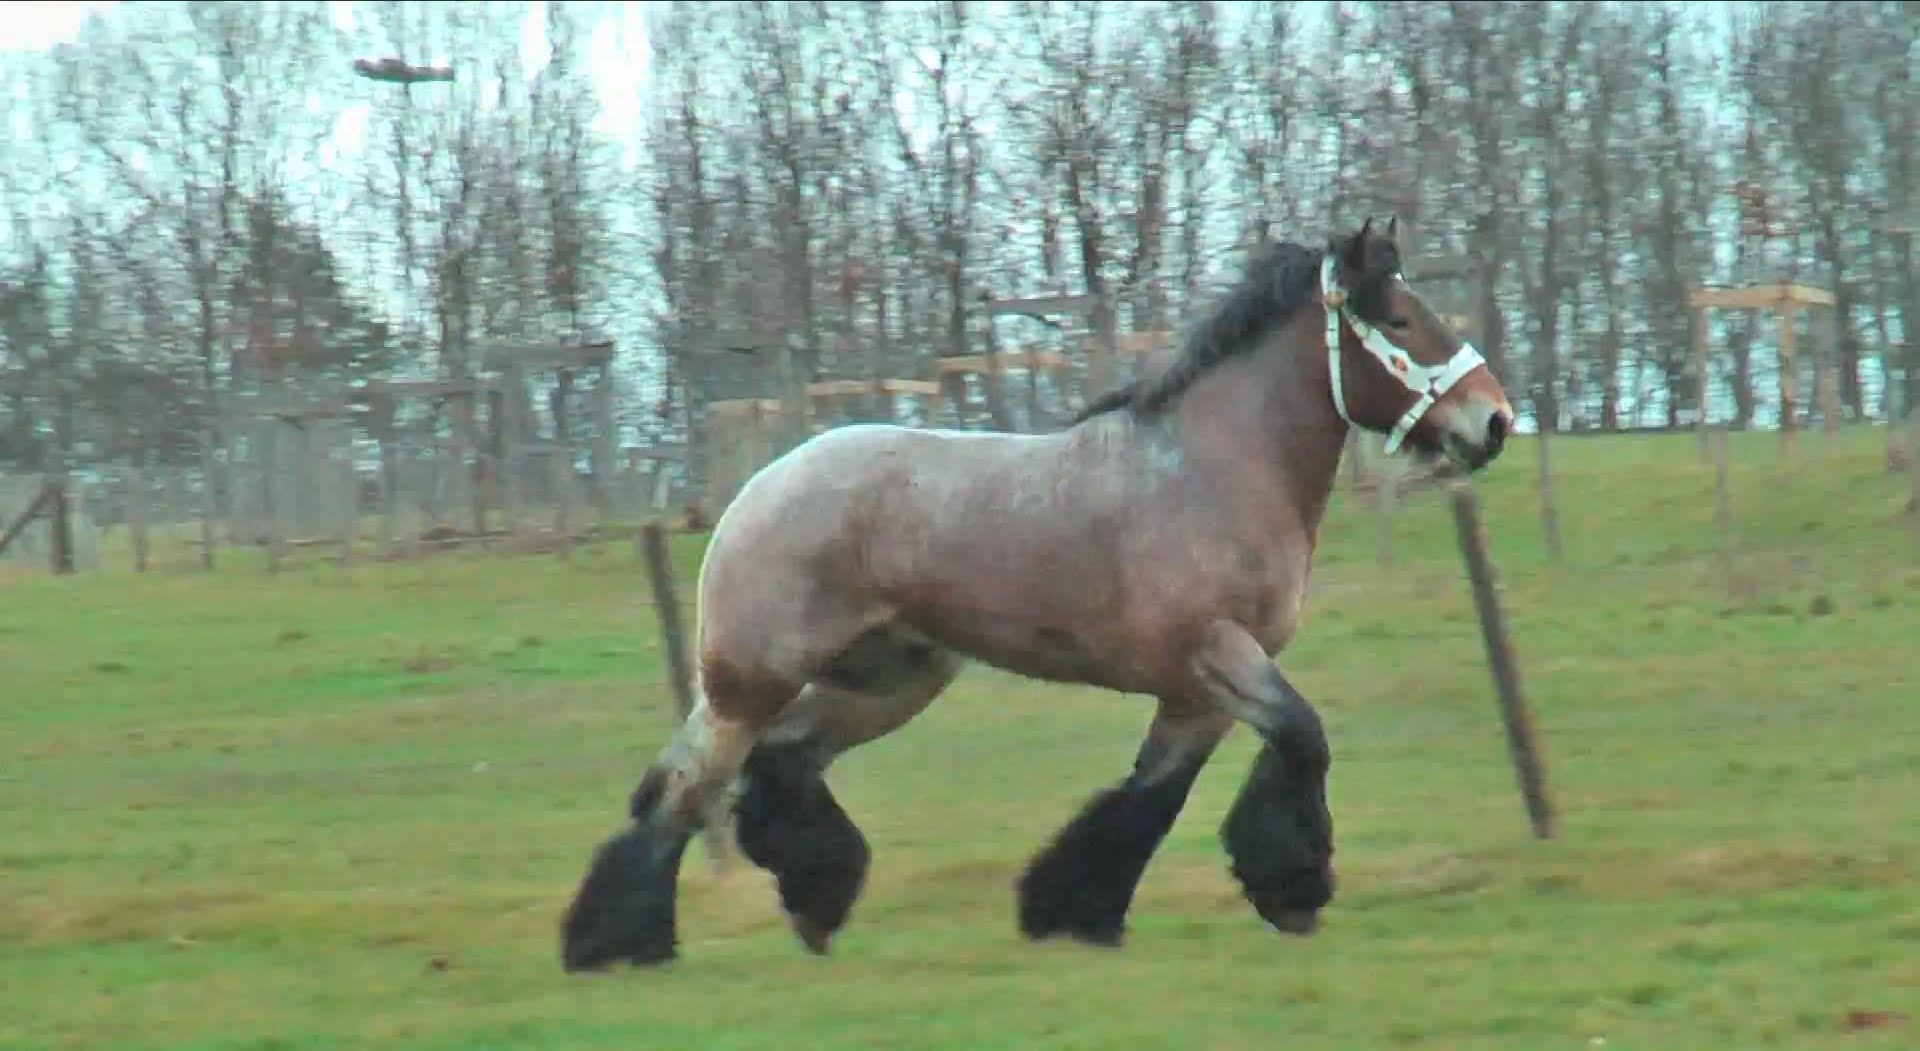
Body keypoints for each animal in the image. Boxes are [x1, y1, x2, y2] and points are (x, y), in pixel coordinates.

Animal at [556, 218, 1512, 976]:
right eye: (1400, 320)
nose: (1496, 421)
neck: (1212, 469)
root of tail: (761, 485)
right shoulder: (1218, 654)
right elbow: (1302, 742)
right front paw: (1294, 892)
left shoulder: (1197, 691)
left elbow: (1150, 797)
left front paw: (1074, 912)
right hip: (749, 683)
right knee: (683, 787)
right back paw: (621, 944)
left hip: (891, 679)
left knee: (783, 760)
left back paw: (813, 904)